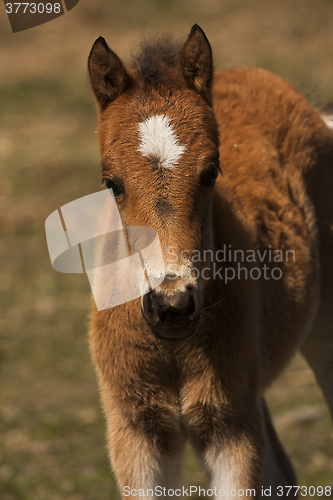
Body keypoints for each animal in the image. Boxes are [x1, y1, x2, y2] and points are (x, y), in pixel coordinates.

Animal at [87, 24, 332, 500]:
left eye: (211, 172)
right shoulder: (137, 430)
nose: (172, 305)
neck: (173, 348)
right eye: (111, 183)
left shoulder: (229, 428)